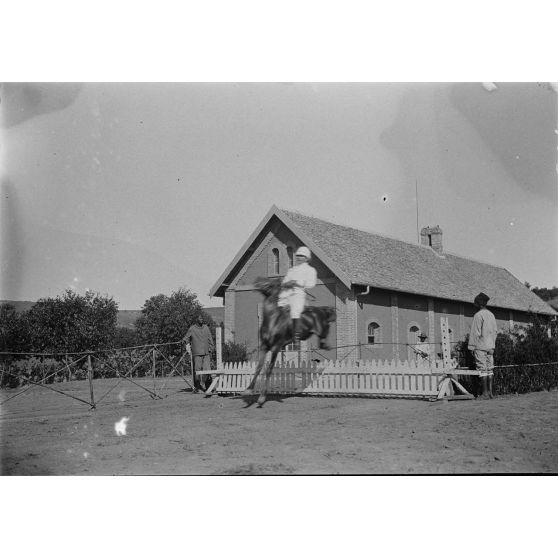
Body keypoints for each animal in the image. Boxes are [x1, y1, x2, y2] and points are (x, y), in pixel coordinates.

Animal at [245, 278, 336, 406]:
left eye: (269, 283)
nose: (256, 282)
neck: (272, 321)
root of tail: (320, 310)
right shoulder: (264, 346)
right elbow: (259, 367)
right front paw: (248, 389)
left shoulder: (276, 347)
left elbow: (269, 369)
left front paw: (262, 398)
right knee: (321, 343)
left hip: (322, 328)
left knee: (325, 334)